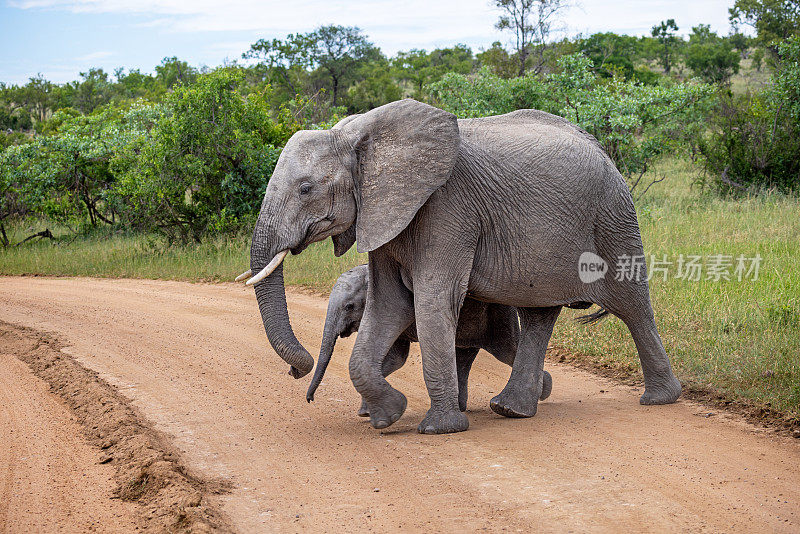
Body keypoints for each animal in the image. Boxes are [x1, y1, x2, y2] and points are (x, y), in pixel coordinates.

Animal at [304, 266, 552, 414]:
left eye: (349, 306)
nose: (310, 400)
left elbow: (397, 359)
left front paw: (367, 410)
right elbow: (395, 359)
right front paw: (367, 411)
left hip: (498, 315)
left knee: (507, 351)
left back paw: (542, 390)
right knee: (463, 356)